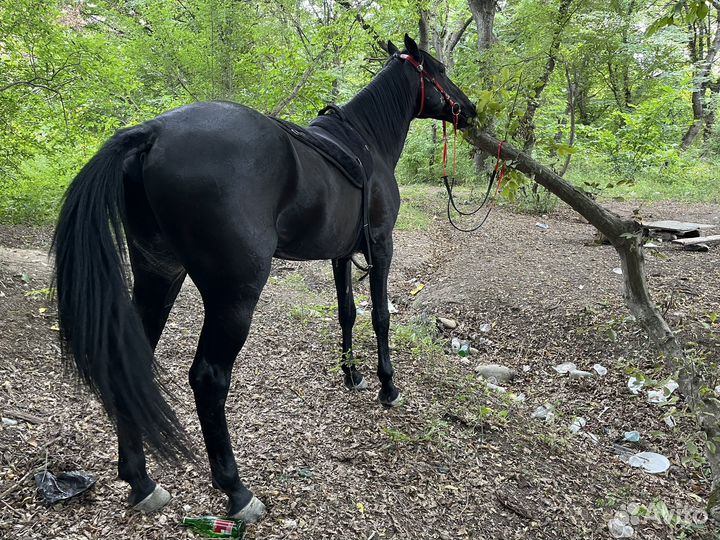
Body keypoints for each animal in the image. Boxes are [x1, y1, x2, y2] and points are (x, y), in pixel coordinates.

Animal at [51, 34, 476, 524]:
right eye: (439, 71)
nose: (470, 109)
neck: (366, 144)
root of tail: (154, 132)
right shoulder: (381, 247)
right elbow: (381, 318)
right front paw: (387, 386)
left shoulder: (341, 254)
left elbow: (347, 313)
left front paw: (352, 375)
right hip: (234, 295)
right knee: (209, 378)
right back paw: (235, 490)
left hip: (159, 274)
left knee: (131, 361)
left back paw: (140, 480)